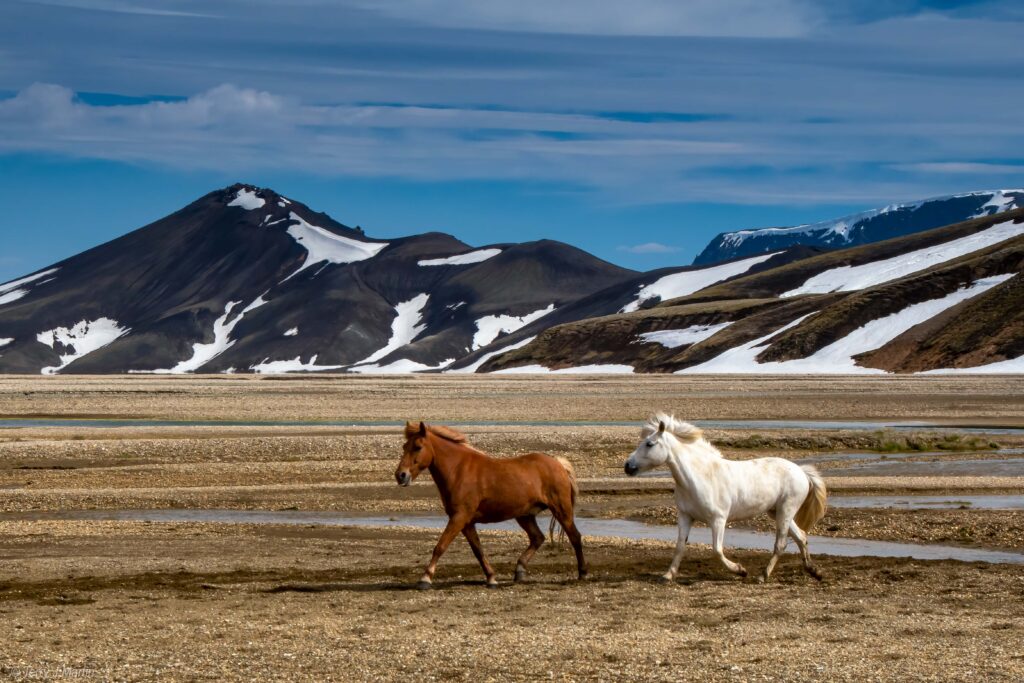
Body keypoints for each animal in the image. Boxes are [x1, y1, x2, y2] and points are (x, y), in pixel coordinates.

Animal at [395, 419, 589, 589]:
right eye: (404, 447)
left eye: (418, 447)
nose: (400, 475)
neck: (457, 470)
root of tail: (558, 463)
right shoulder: (466, 522)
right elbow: (478, 551)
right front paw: (491, 578)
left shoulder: (459, 518)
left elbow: (440, 546)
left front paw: (425, 579)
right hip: (525, 515)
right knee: (537, 538)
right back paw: (519, 570)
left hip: (561, 510)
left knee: (575, 536)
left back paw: (583, 573)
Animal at [618, 411, 827, 581]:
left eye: (649, 444)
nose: (627, 466)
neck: (700, 477)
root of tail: (801, 472)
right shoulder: (685, 516)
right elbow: (679, 546)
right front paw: (668, 575)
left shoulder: (718, 520)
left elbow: (717, 551)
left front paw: (740, 570)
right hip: (776, 512)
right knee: (801, 536)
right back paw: (814, 571)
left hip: (785, 510)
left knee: (781, 543)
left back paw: (762, 576)